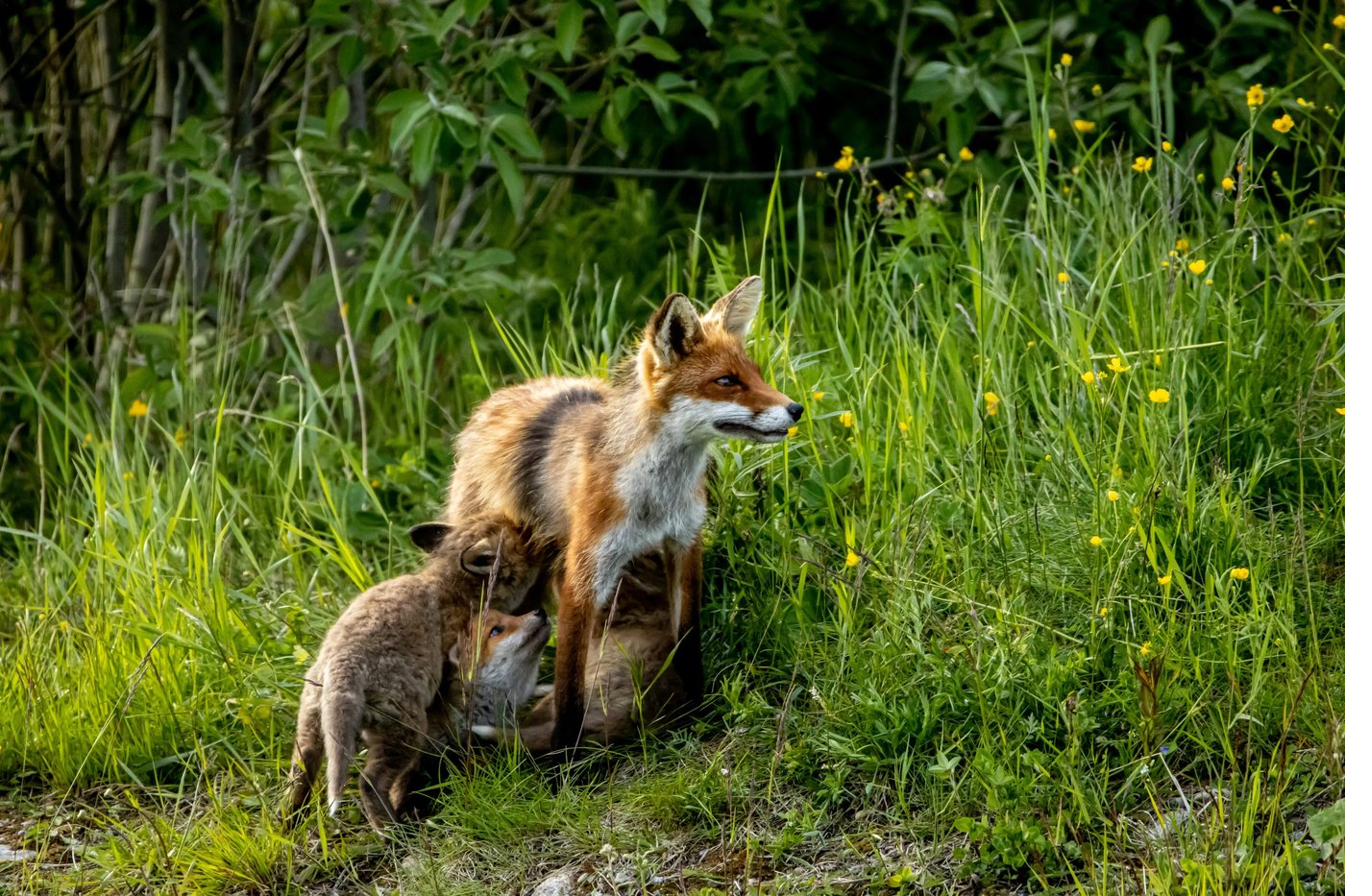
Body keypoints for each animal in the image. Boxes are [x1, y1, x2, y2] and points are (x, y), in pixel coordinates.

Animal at [285, 517, 545, 832]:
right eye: (526, 540)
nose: (534, 528)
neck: (446, 586)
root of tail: (341, 664)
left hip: (310, 733)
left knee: (299, 779)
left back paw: (288, 822)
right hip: (405, 732)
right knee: (369, 782)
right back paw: (392, 831)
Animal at [444, 276, 799, 749]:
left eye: (756, 375)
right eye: (726, 381)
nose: (796, 409)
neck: (654, 500)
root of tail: (497, 399)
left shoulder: (684, 545)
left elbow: (687, 645)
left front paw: (696, 713)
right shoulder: (584, 573)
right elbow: (570, 690)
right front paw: (565, 752)